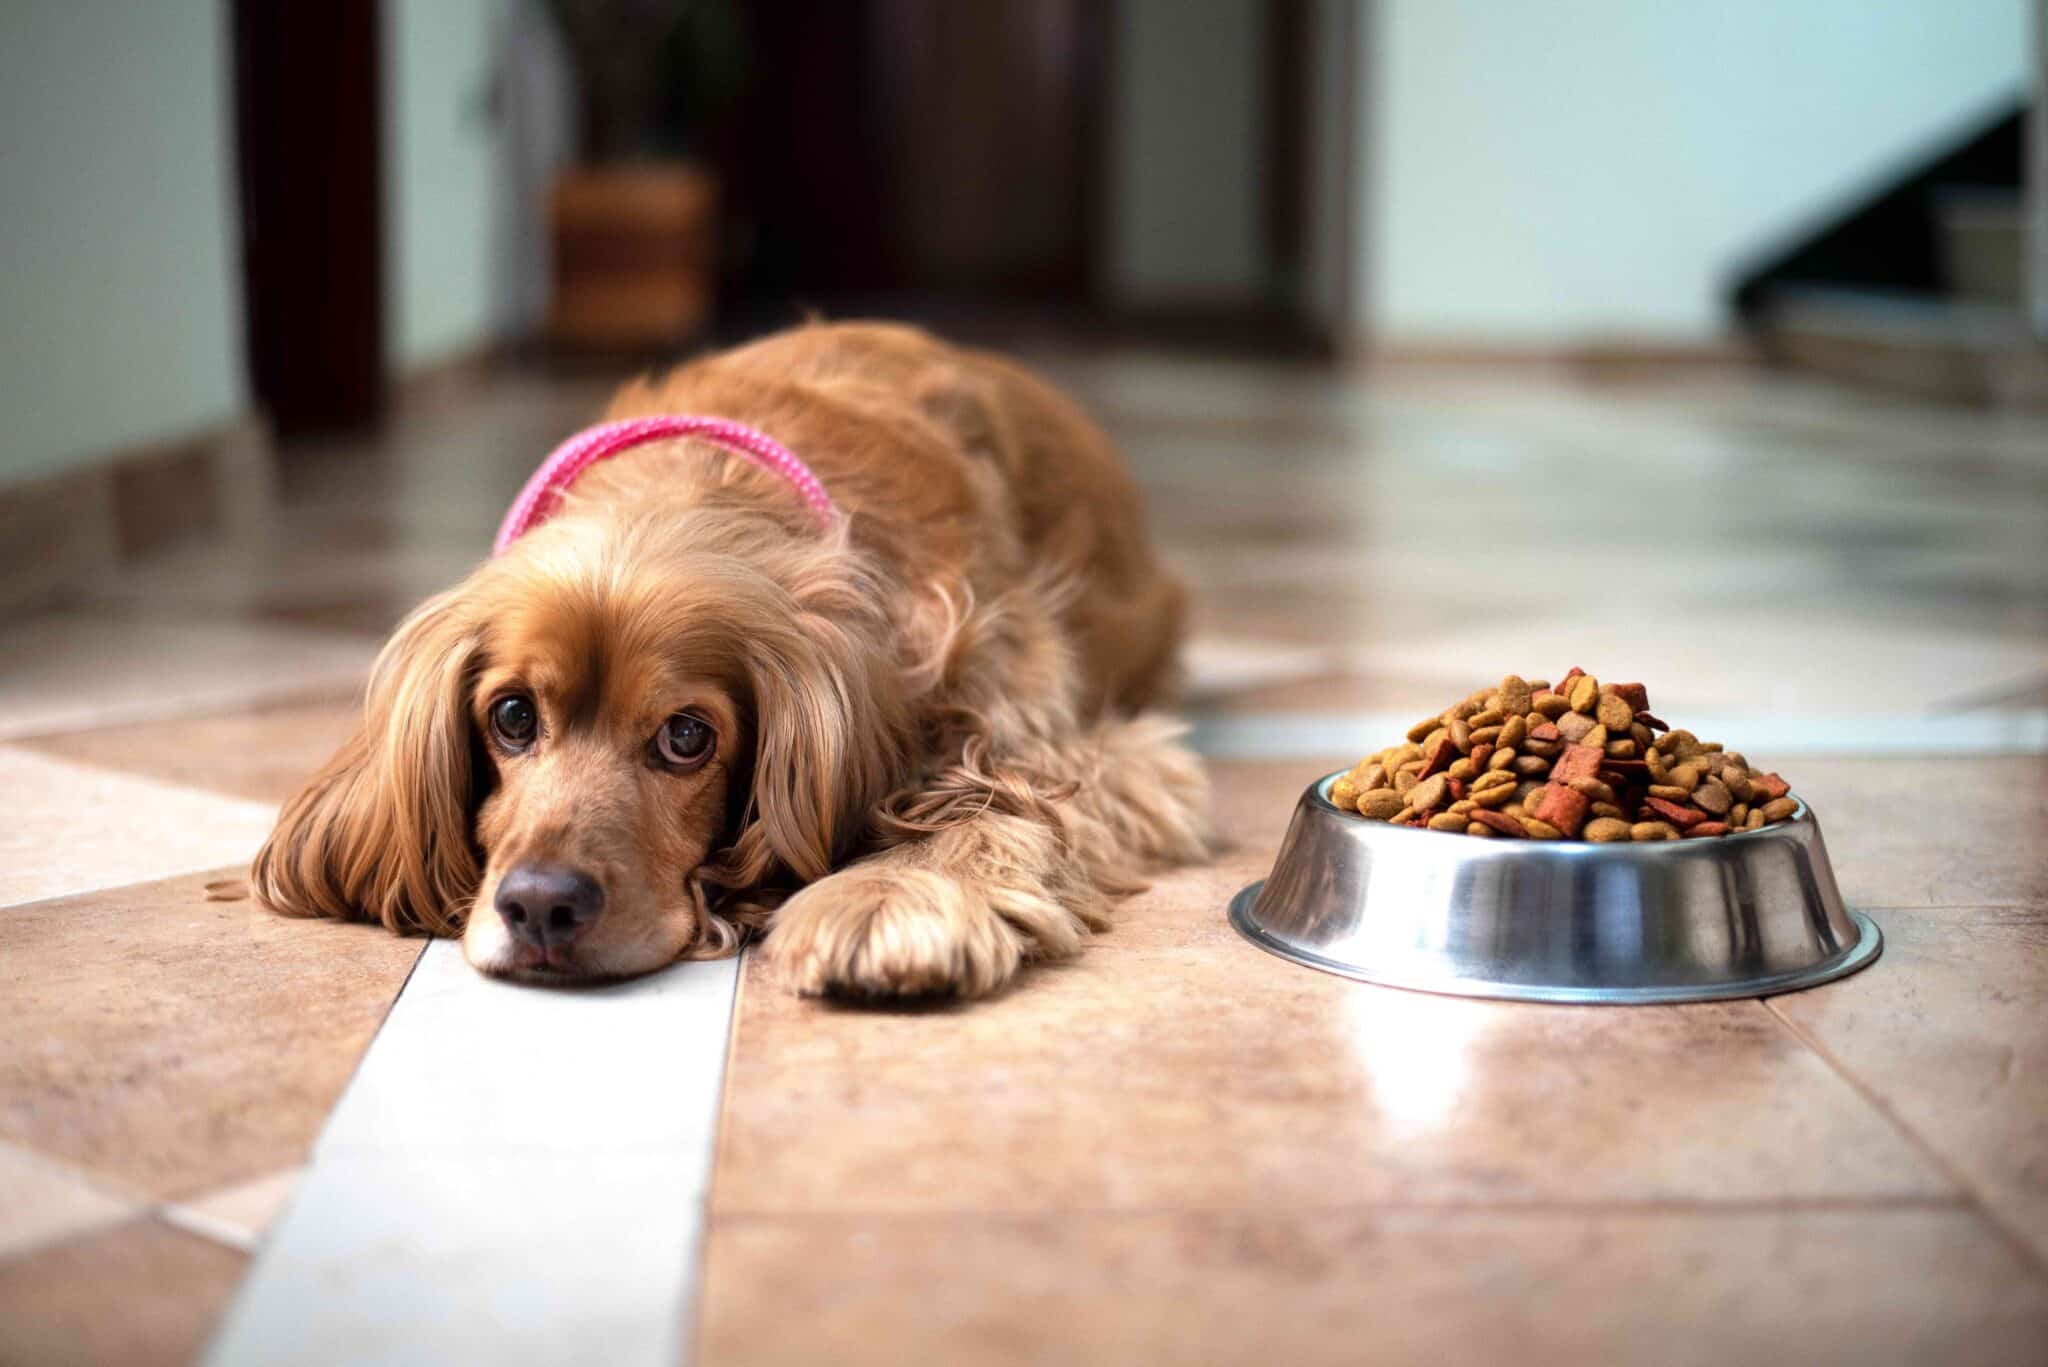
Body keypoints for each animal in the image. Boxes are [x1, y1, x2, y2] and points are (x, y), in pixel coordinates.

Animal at [258, 325, 1212, 1000]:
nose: (538, 906)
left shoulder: (1065, 725)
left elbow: (999, 794)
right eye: (513, 716)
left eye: (687, 737)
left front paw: (893, 897)